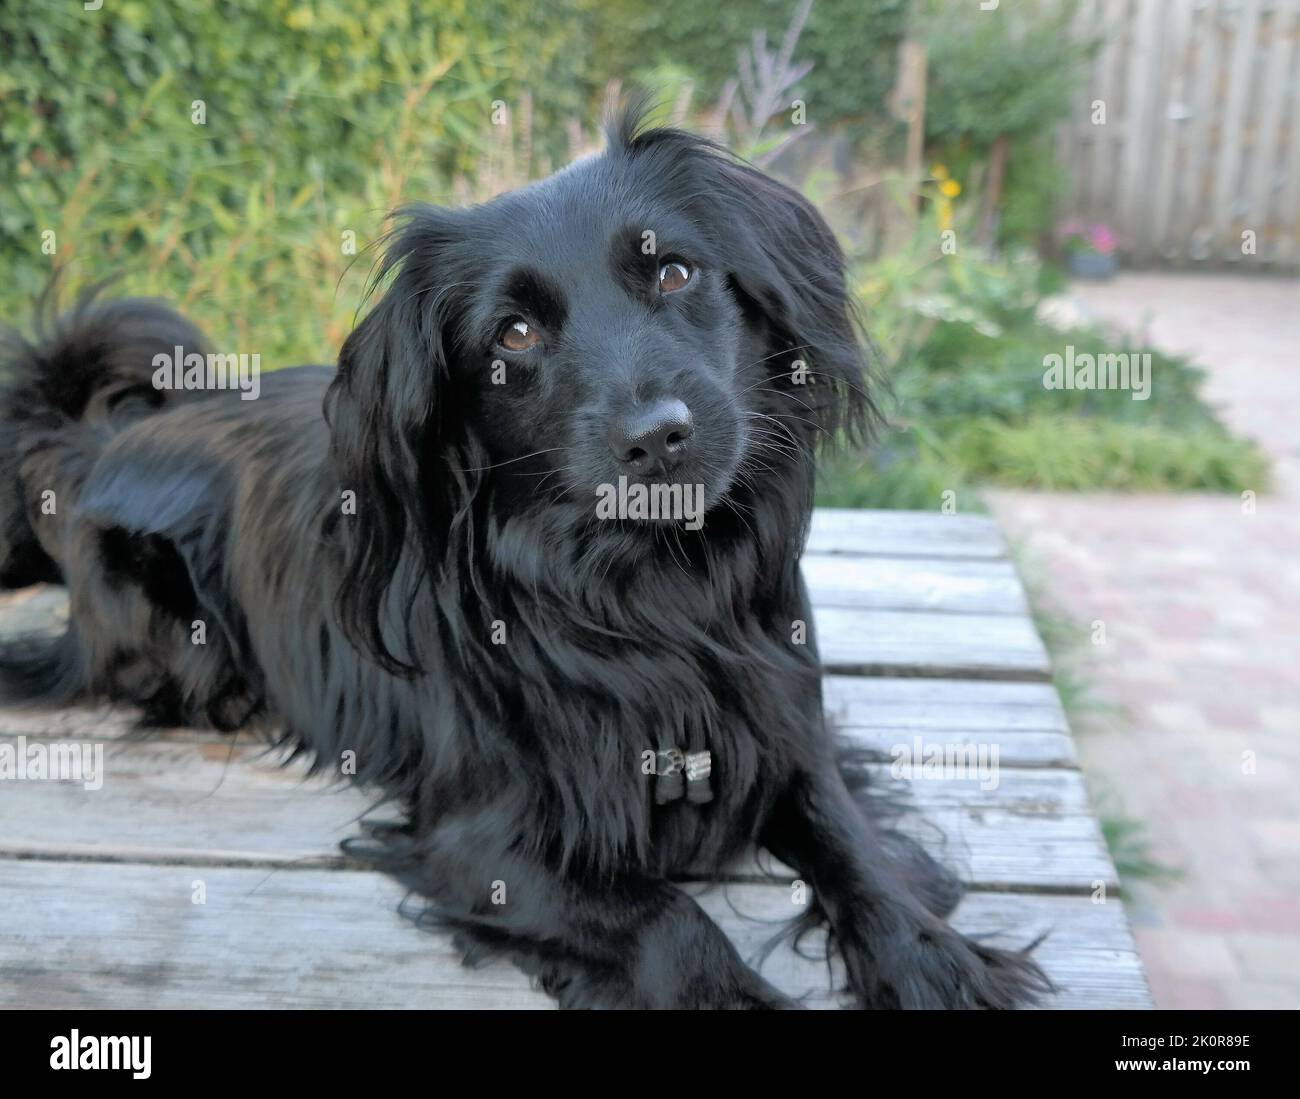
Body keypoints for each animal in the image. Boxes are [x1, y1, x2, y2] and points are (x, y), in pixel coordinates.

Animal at [0, 111, 1050, 1014]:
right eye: (514, 334)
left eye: (674, 271)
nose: (657, 438)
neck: (649, 591)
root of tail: (91, 442)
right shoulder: (481, 841)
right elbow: (665, 914)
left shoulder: (784, 723)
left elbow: (852, 845)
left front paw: (935, 962)